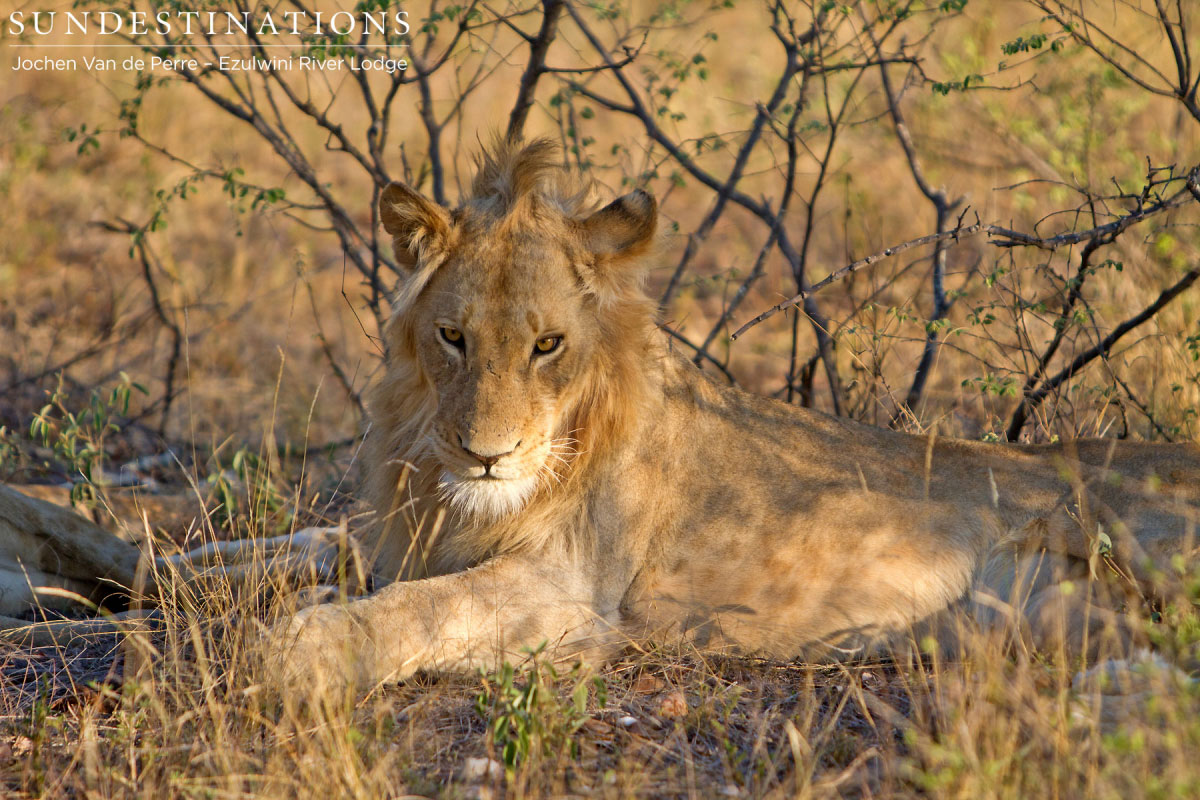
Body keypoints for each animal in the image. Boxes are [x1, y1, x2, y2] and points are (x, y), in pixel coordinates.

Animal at [272, 138, 1200, 689]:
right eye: (453, 337)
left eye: (548, 345)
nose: (485, 456)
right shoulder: (401, 535)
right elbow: (309, 542)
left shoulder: (567, 594)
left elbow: (417, 609)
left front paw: (296, 650)